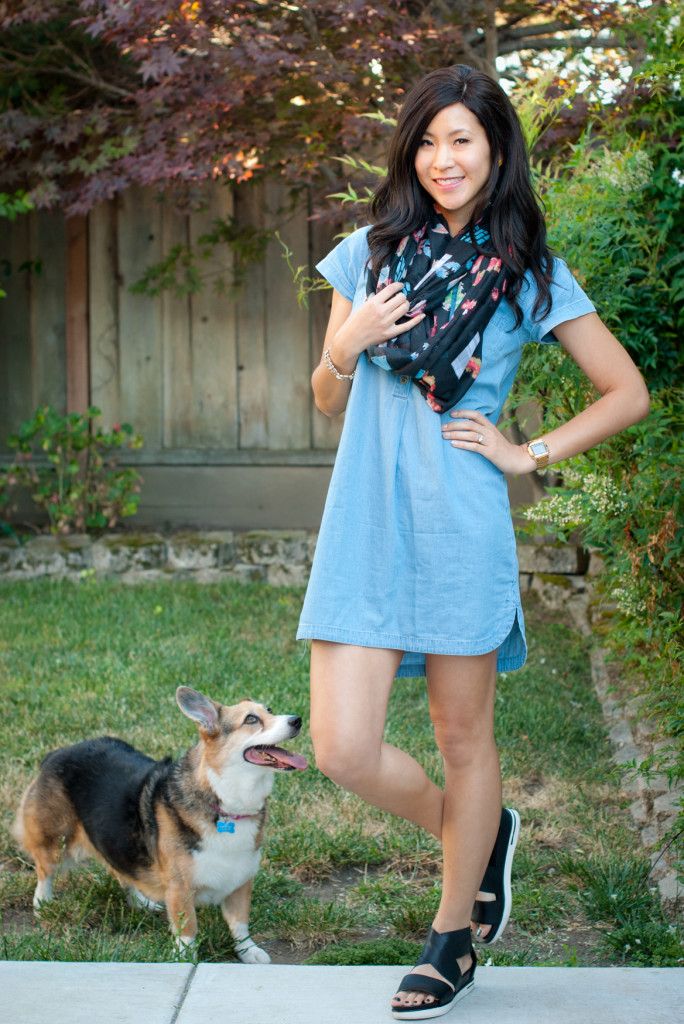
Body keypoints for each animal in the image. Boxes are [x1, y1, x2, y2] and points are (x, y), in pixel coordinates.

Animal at [12, 688, 307, 958]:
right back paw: (43, 904)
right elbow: (188, 930)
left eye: (270, 710)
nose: (298, 719)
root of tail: (55, 754)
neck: (225, 803)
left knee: (121, 870)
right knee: (45, 870)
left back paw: (143, 902)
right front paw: (185, 958)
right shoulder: (180, 888)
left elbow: (240, 924)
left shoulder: (240, 880)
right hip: (55, 840)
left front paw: (249, 952)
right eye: (251, 719)